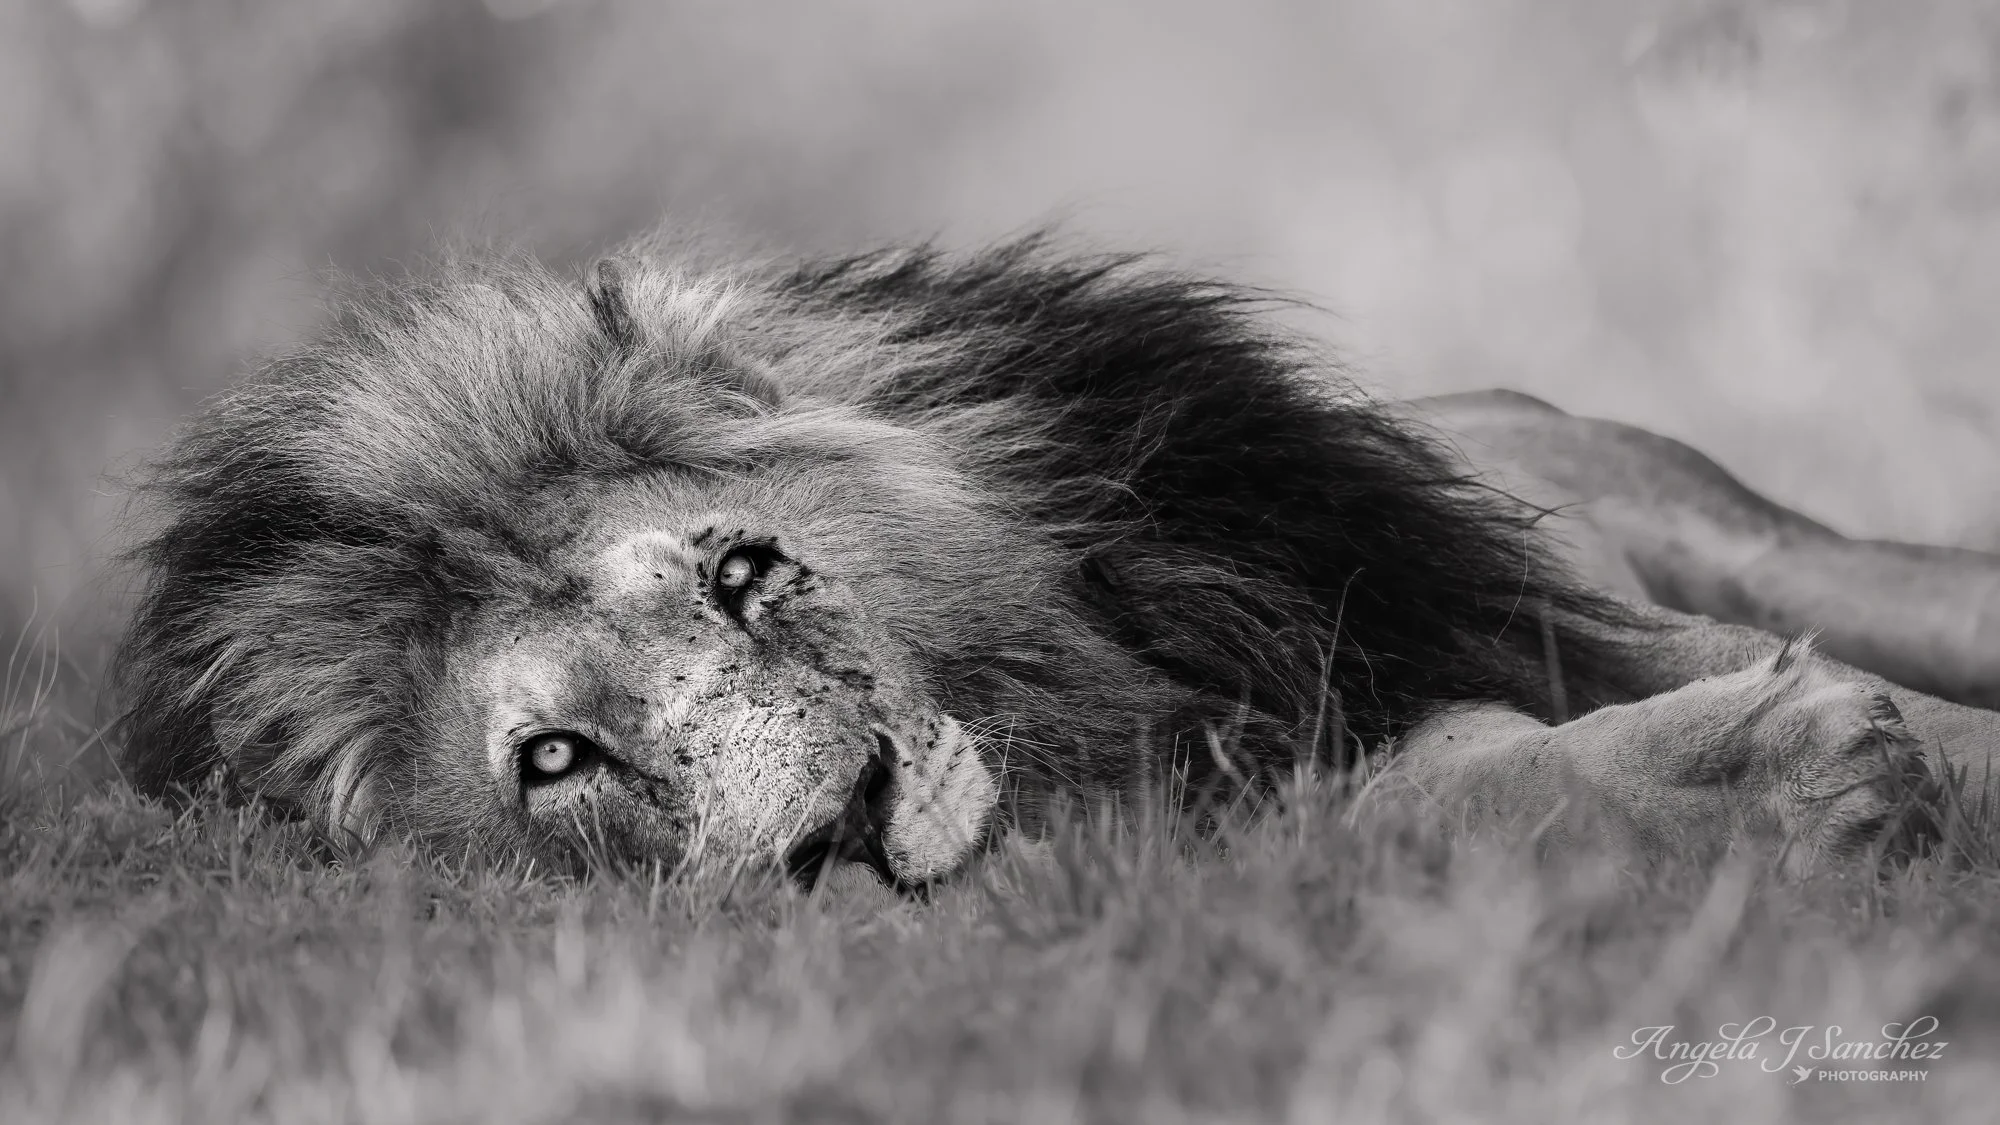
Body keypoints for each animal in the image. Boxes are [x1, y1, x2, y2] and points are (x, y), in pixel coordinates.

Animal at [113, 237, 2000, 889]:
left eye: (738, 576)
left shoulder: (1450, 594)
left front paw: (1876, 758)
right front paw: (1776, 784)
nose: (822, 830)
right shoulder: (1274, 778)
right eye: (556, 762)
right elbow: (1479, 785)